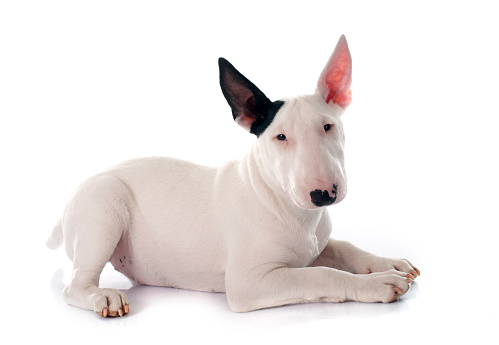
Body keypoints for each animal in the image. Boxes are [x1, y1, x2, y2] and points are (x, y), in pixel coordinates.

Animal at [47, 35, 418, 318]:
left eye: (328, 126)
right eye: (280, 137)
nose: (323, 194)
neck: (286, 205)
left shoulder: (316, 244)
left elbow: (343, 248)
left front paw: (389, 263)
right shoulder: (248, 283)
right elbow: (321, 274)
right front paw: (378, 283)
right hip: (104, 204)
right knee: (75, 285)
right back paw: (102, 296)